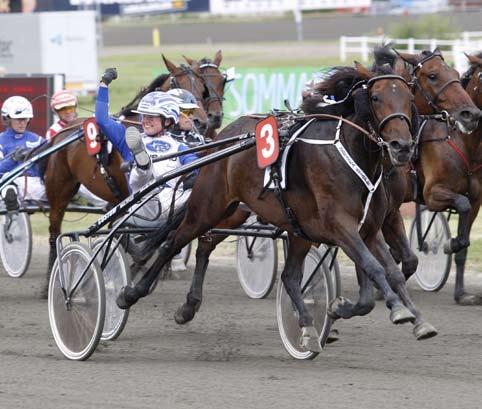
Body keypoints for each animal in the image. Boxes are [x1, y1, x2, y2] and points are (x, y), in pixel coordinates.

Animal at [116, 63, 436, 348]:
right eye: (376, 97)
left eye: (408, 98)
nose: (402, 147)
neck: (352, 154)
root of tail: (223, 139)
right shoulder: (341, 226)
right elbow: (374, 267)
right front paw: (397, 310)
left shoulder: (368, 229)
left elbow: (389, 273)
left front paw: (414, 318)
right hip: (208, 207)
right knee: (174, 241)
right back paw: (131, 293)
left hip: (273, 222)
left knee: (281, 273)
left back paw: (303, 325)